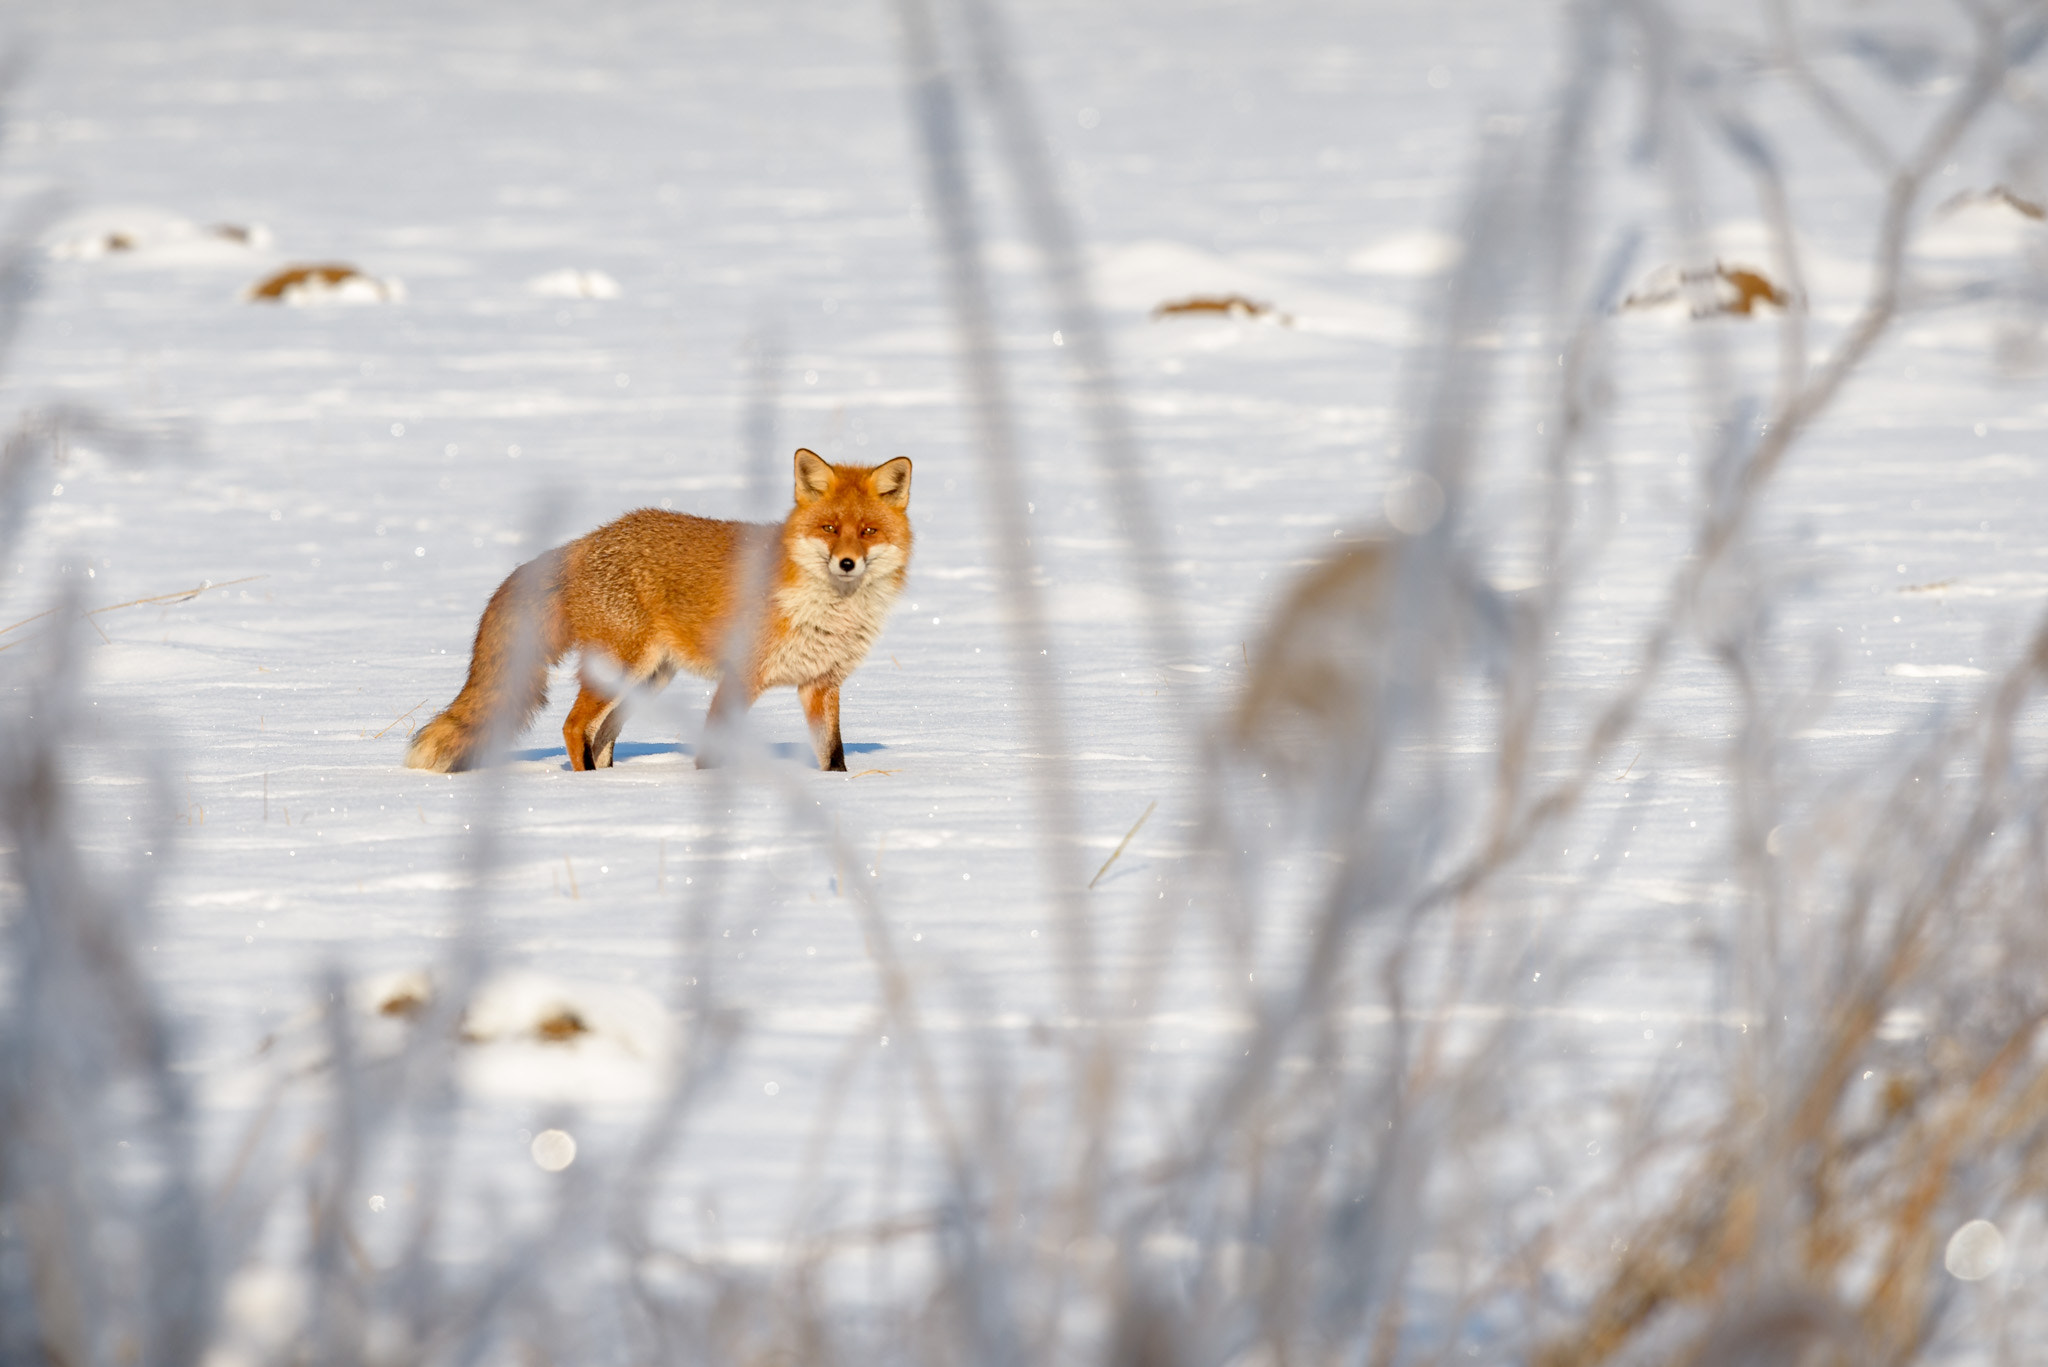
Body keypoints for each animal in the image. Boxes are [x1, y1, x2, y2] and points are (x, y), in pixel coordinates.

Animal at [404, 448, 912, 774]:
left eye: (868, 531)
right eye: (829, 528)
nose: (847, 563)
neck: (825, 610)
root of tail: (588, 540)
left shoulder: (820, 684)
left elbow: (833, 757)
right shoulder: (741, 675)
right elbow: (712, 749)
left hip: (648, 679)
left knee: (600, 737)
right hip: (625, 666)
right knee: (574, 727)